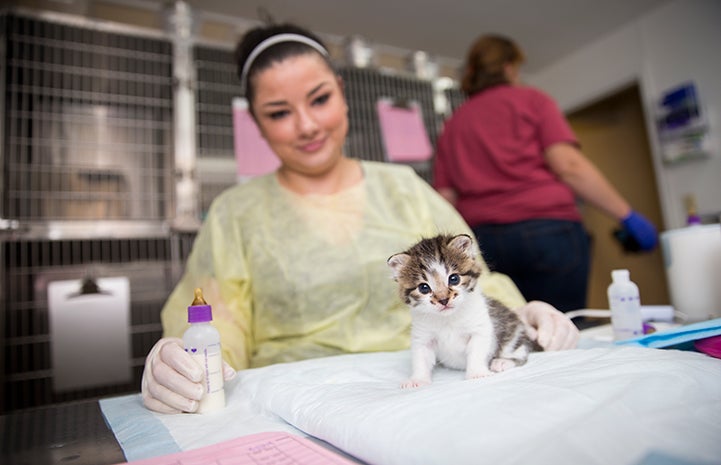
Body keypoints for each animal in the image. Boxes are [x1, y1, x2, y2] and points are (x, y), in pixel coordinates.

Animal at [388, 232, 540, 388]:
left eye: (454, 278)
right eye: (424, 288)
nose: (443, 300)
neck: (448, 318)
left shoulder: (480, 329)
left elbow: (477, 352)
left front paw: (477, 373)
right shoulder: (422, 337)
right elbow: (421, 359)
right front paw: (418, 380)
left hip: (513, 335)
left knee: (521, 353)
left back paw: (502, 362)